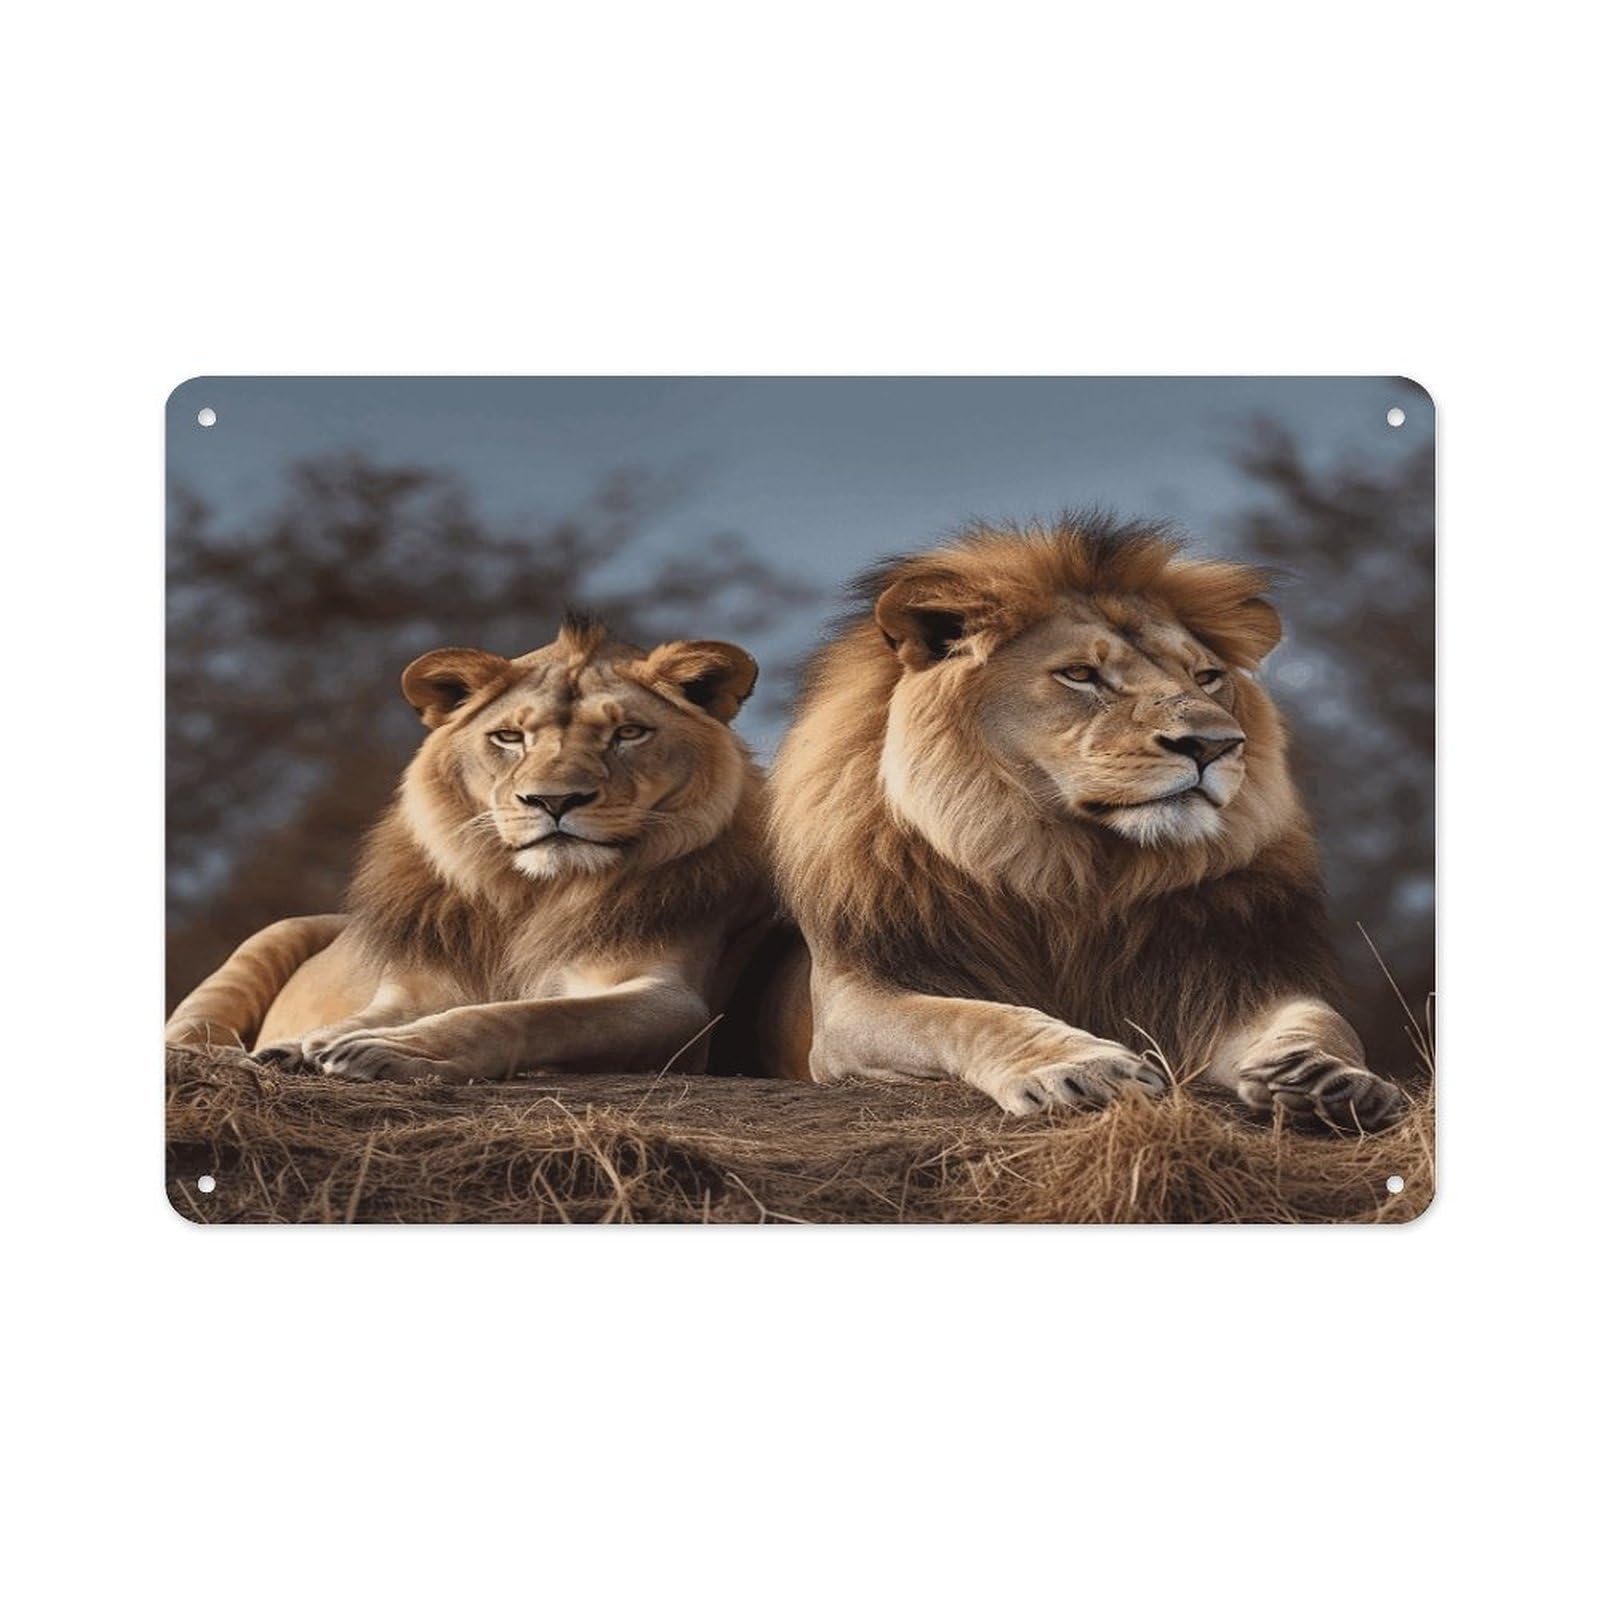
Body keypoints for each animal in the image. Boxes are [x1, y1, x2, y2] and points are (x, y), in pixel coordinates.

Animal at [165, 617, 771, 1083]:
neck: (533, 897)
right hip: (271, 935)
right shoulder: (414, 987)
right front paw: (297, 1047)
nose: (554, 800)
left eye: (628, 733)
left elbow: (528, 1016)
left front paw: (388, 1051)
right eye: (509, 737)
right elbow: (358, 1018)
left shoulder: (674, 1003)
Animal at [763, 516, 1408, 1131]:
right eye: (1080, 674)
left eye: (1206, 677)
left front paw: (1327, 1078)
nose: (1215, 744)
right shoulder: (853, 1003)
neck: (1071, 870)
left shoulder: (1228, 980)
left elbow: (1321, 1021)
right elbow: (964, 1016)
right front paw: (1082, 1067)